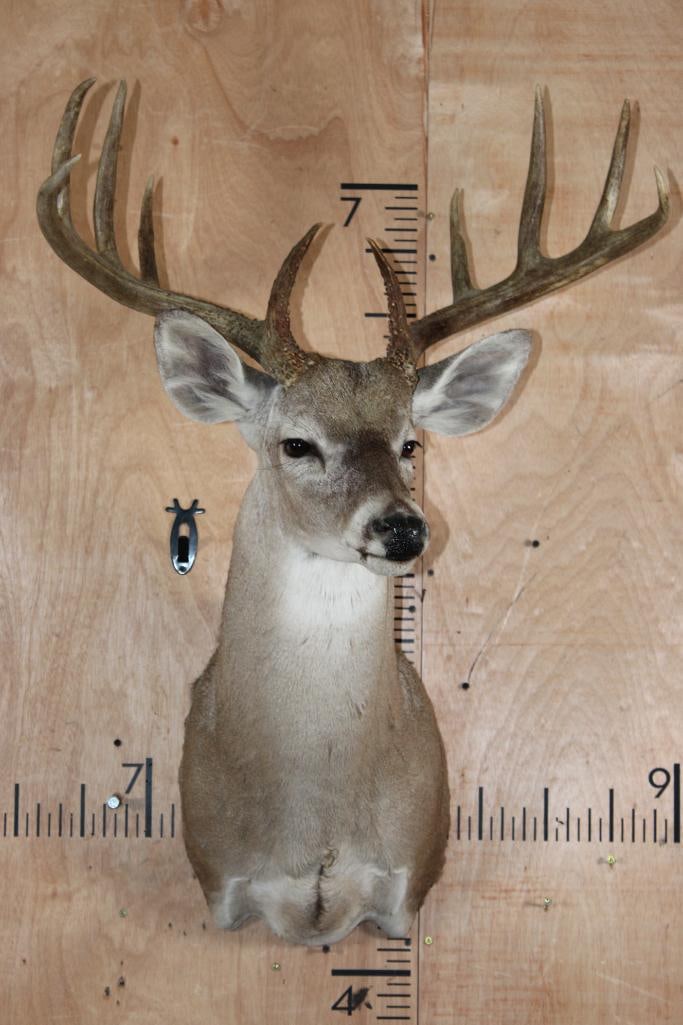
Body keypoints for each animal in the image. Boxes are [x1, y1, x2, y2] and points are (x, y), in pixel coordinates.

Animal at [37, 79, 668, 946]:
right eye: (297, 443)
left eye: (410, 443)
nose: (401, 527)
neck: (313, 817)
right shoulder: (218, 881)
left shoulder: (408, 880)